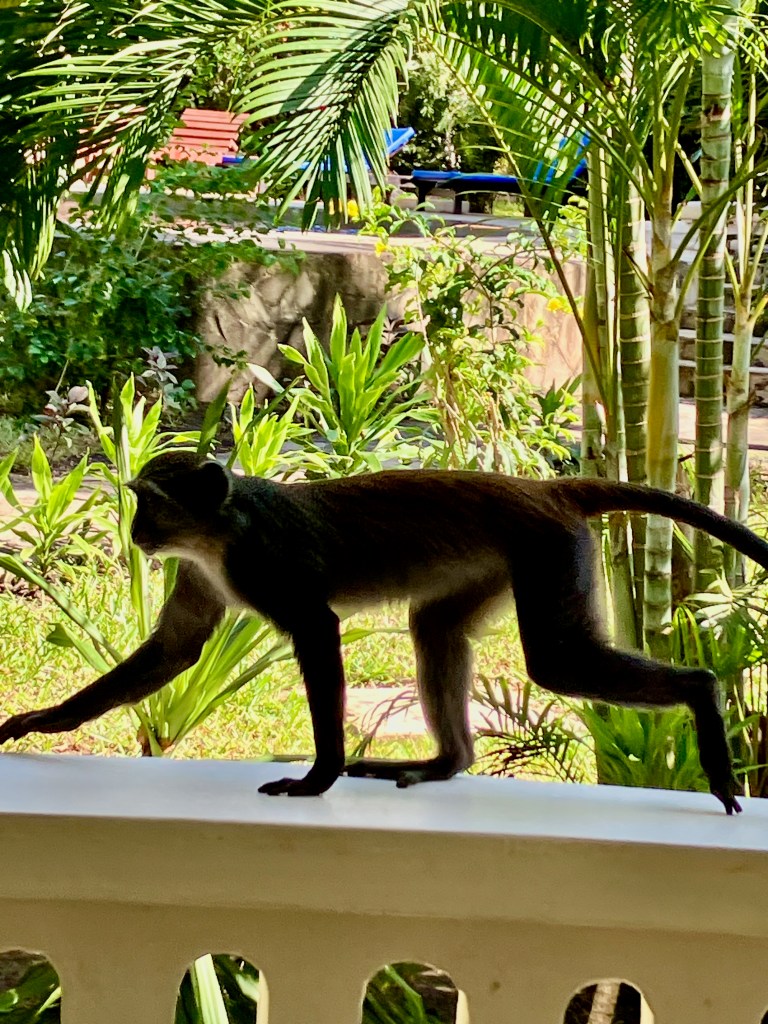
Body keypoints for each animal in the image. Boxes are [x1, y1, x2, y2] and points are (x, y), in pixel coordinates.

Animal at [2, 451, 767, 814]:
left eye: (151, 505)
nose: (135, 533)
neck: (220, 529)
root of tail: (542, 489)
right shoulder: (201, 570)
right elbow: (175, 650)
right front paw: (42, 720)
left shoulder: (257, 562)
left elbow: (316, 629)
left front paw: (317, 778)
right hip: (504, 561)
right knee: (435, 626)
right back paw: (447, 761)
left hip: (548, 549)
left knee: (555, 661)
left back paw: (702, 694)